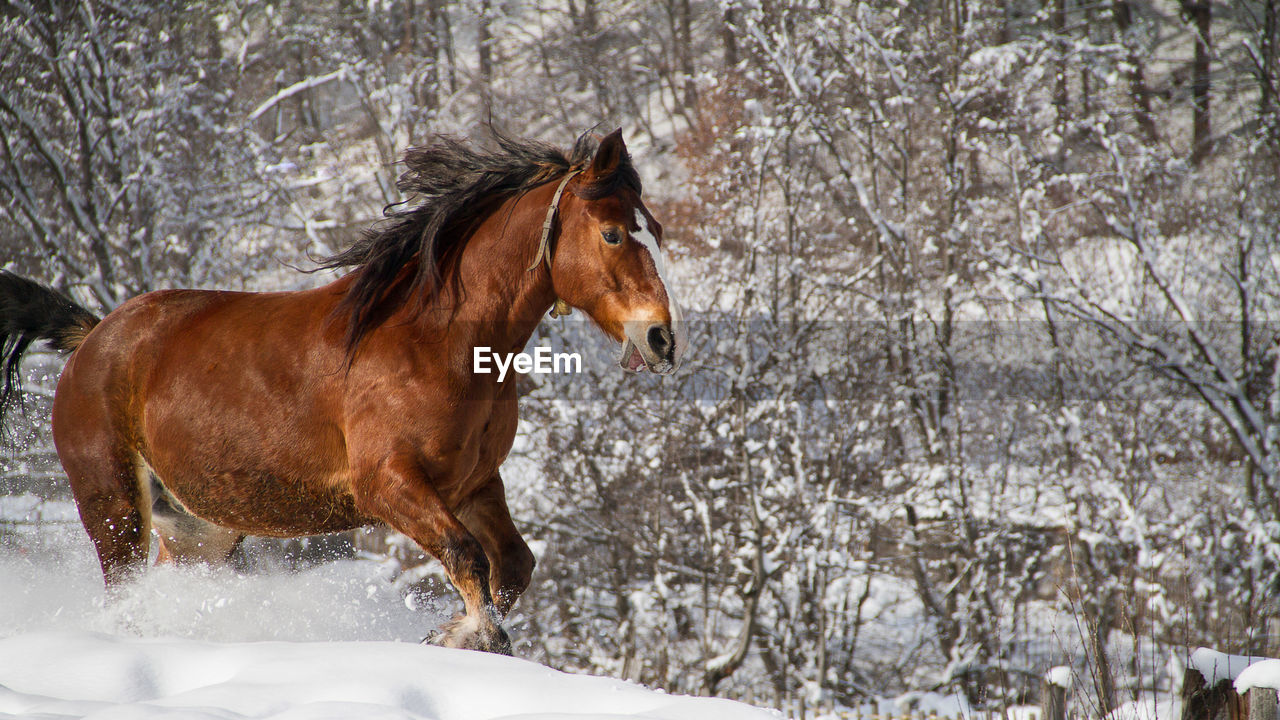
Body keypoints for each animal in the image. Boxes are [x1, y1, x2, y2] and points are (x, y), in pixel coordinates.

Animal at [0, 128, 691, 650]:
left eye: (655, 229)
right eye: (612, 232)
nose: (661, 338)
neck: (437, 338)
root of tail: (94, 337)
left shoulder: (471, 483)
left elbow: (512, 565)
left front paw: (455, 631)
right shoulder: (388, 484)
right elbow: (466, 555)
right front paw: (464, 635)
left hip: (200, 529)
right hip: (114, 506)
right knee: (124, 592)